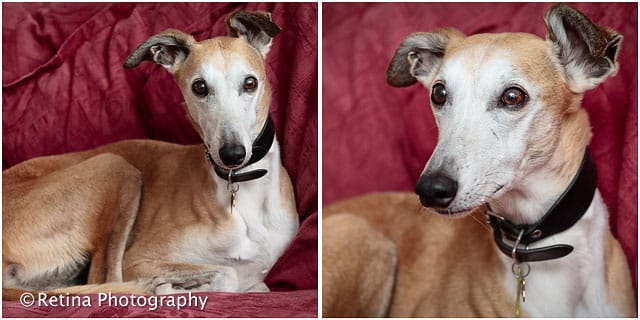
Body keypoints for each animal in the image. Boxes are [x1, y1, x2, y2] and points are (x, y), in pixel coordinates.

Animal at [3, 10, 298, 300]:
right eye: (199, 87)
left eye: (250, 83)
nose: (233, 155)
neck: (241, 189)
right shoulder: (139, 260)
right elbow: (229, 274)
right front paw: (186, 288)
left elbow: (258, 284)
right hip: (115, 166)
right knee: (106, 281)